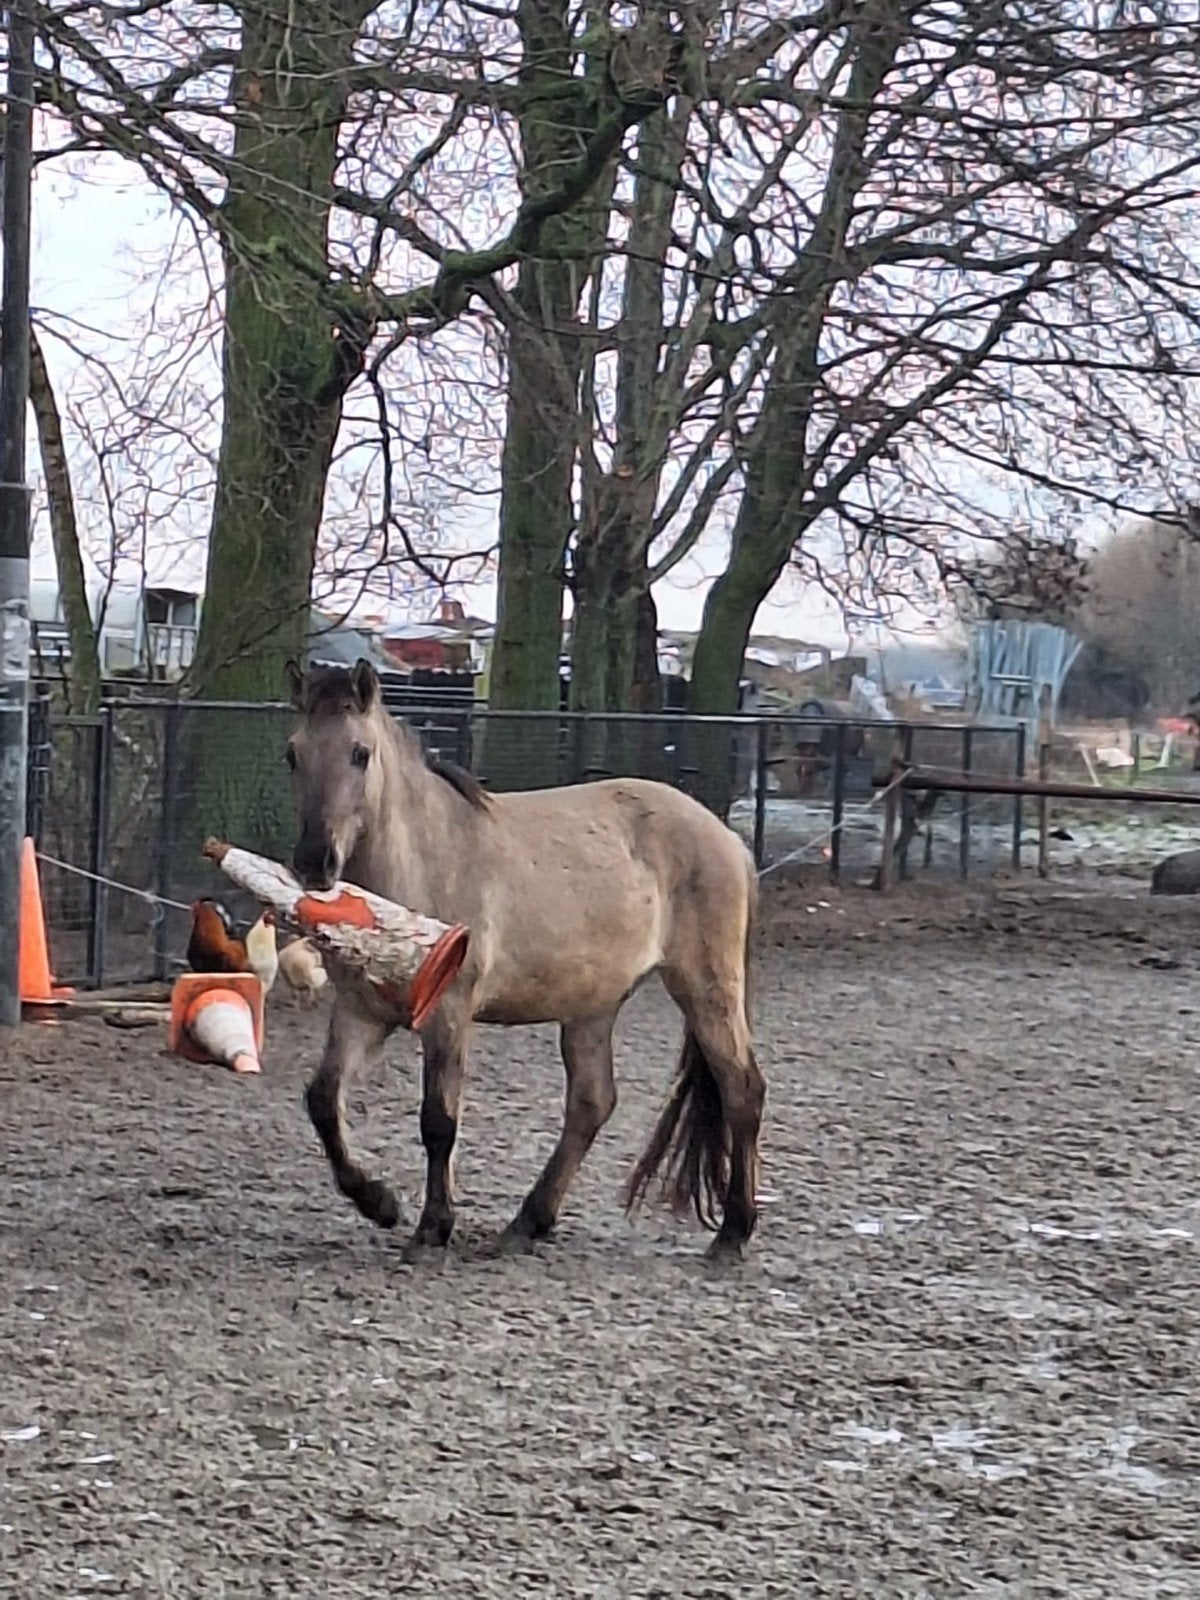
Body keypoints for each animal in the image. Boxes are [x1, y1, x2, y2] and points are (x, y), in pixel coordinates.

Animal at [284, 659, 765, 1260]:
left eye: (360, 752)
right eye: (293, 753)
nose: (314, 861)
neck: (420, 868)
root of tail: (728, 838)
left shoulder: (449, 1015)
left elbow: (438, 1121)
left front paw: (432, 1227)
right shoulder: (362, 1013)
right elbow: (323, 1101)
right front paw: (380, 1203)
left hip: (706, 989)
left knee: (742, 1090)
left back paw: (732, 1233)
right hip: (592, 1006)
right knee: (591, 1103)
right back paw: (527, 1222)